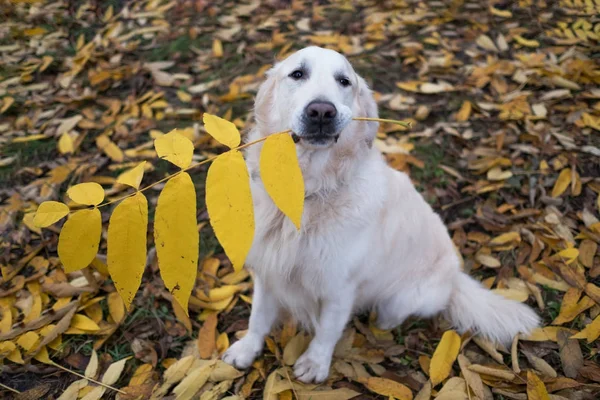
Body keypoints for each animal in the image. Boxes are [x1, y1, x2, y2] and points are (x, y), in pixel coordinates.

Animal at [221, 47, 540, 384]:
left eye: (344, 81)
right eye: (297, 74)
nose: (321, 112)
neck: (308, 192)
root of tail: (456, 277)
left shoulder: (339, 287)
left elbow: (327, 330)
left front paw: (316, 363)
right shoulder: (267, 272)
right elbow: (258, 317)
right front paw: (246, 350)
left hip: (400, 299)